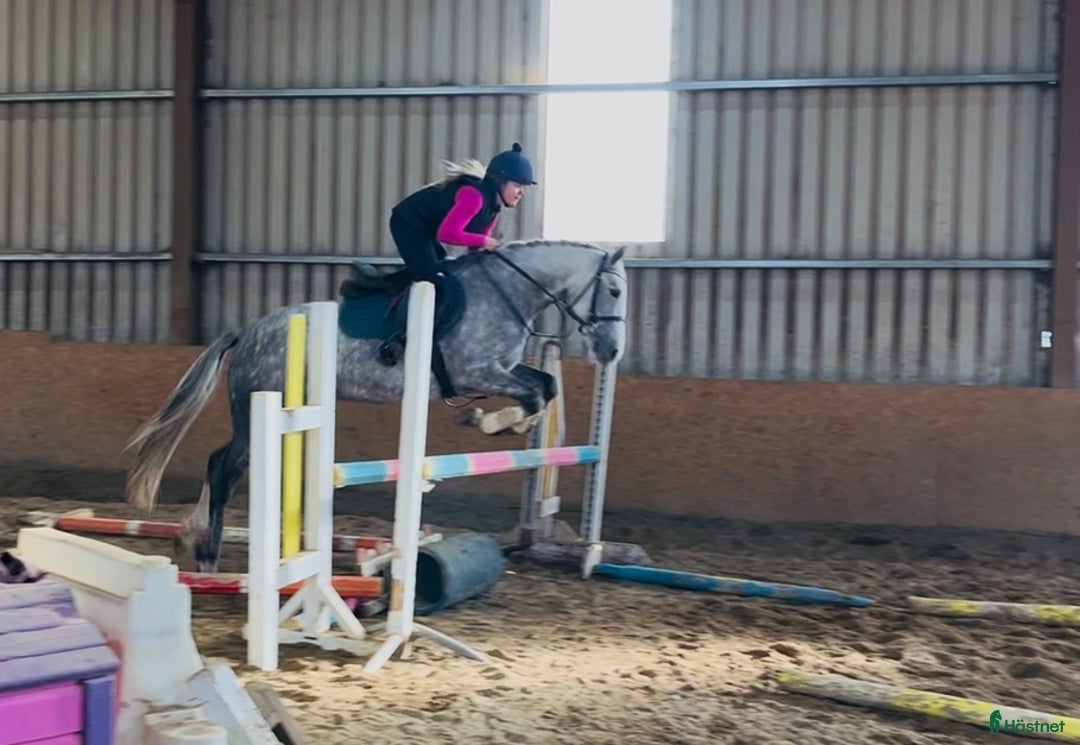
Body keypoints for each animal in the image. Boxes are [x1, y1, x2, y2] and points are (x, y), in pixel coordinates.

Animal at [123, 239, 629, 572]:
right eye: (616, 292)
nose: (611, 352)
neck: (508, 293)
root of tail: (247, 332)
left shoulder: (503, 369)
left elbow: (545, 387)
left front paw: (503, 424)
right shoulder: (479, 371)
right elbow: (535, 394)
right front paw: (488, 421)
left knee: (219, 463)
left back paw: (189, 539)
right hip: (257, 411)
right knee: (226, 469)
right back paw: (207, 555)